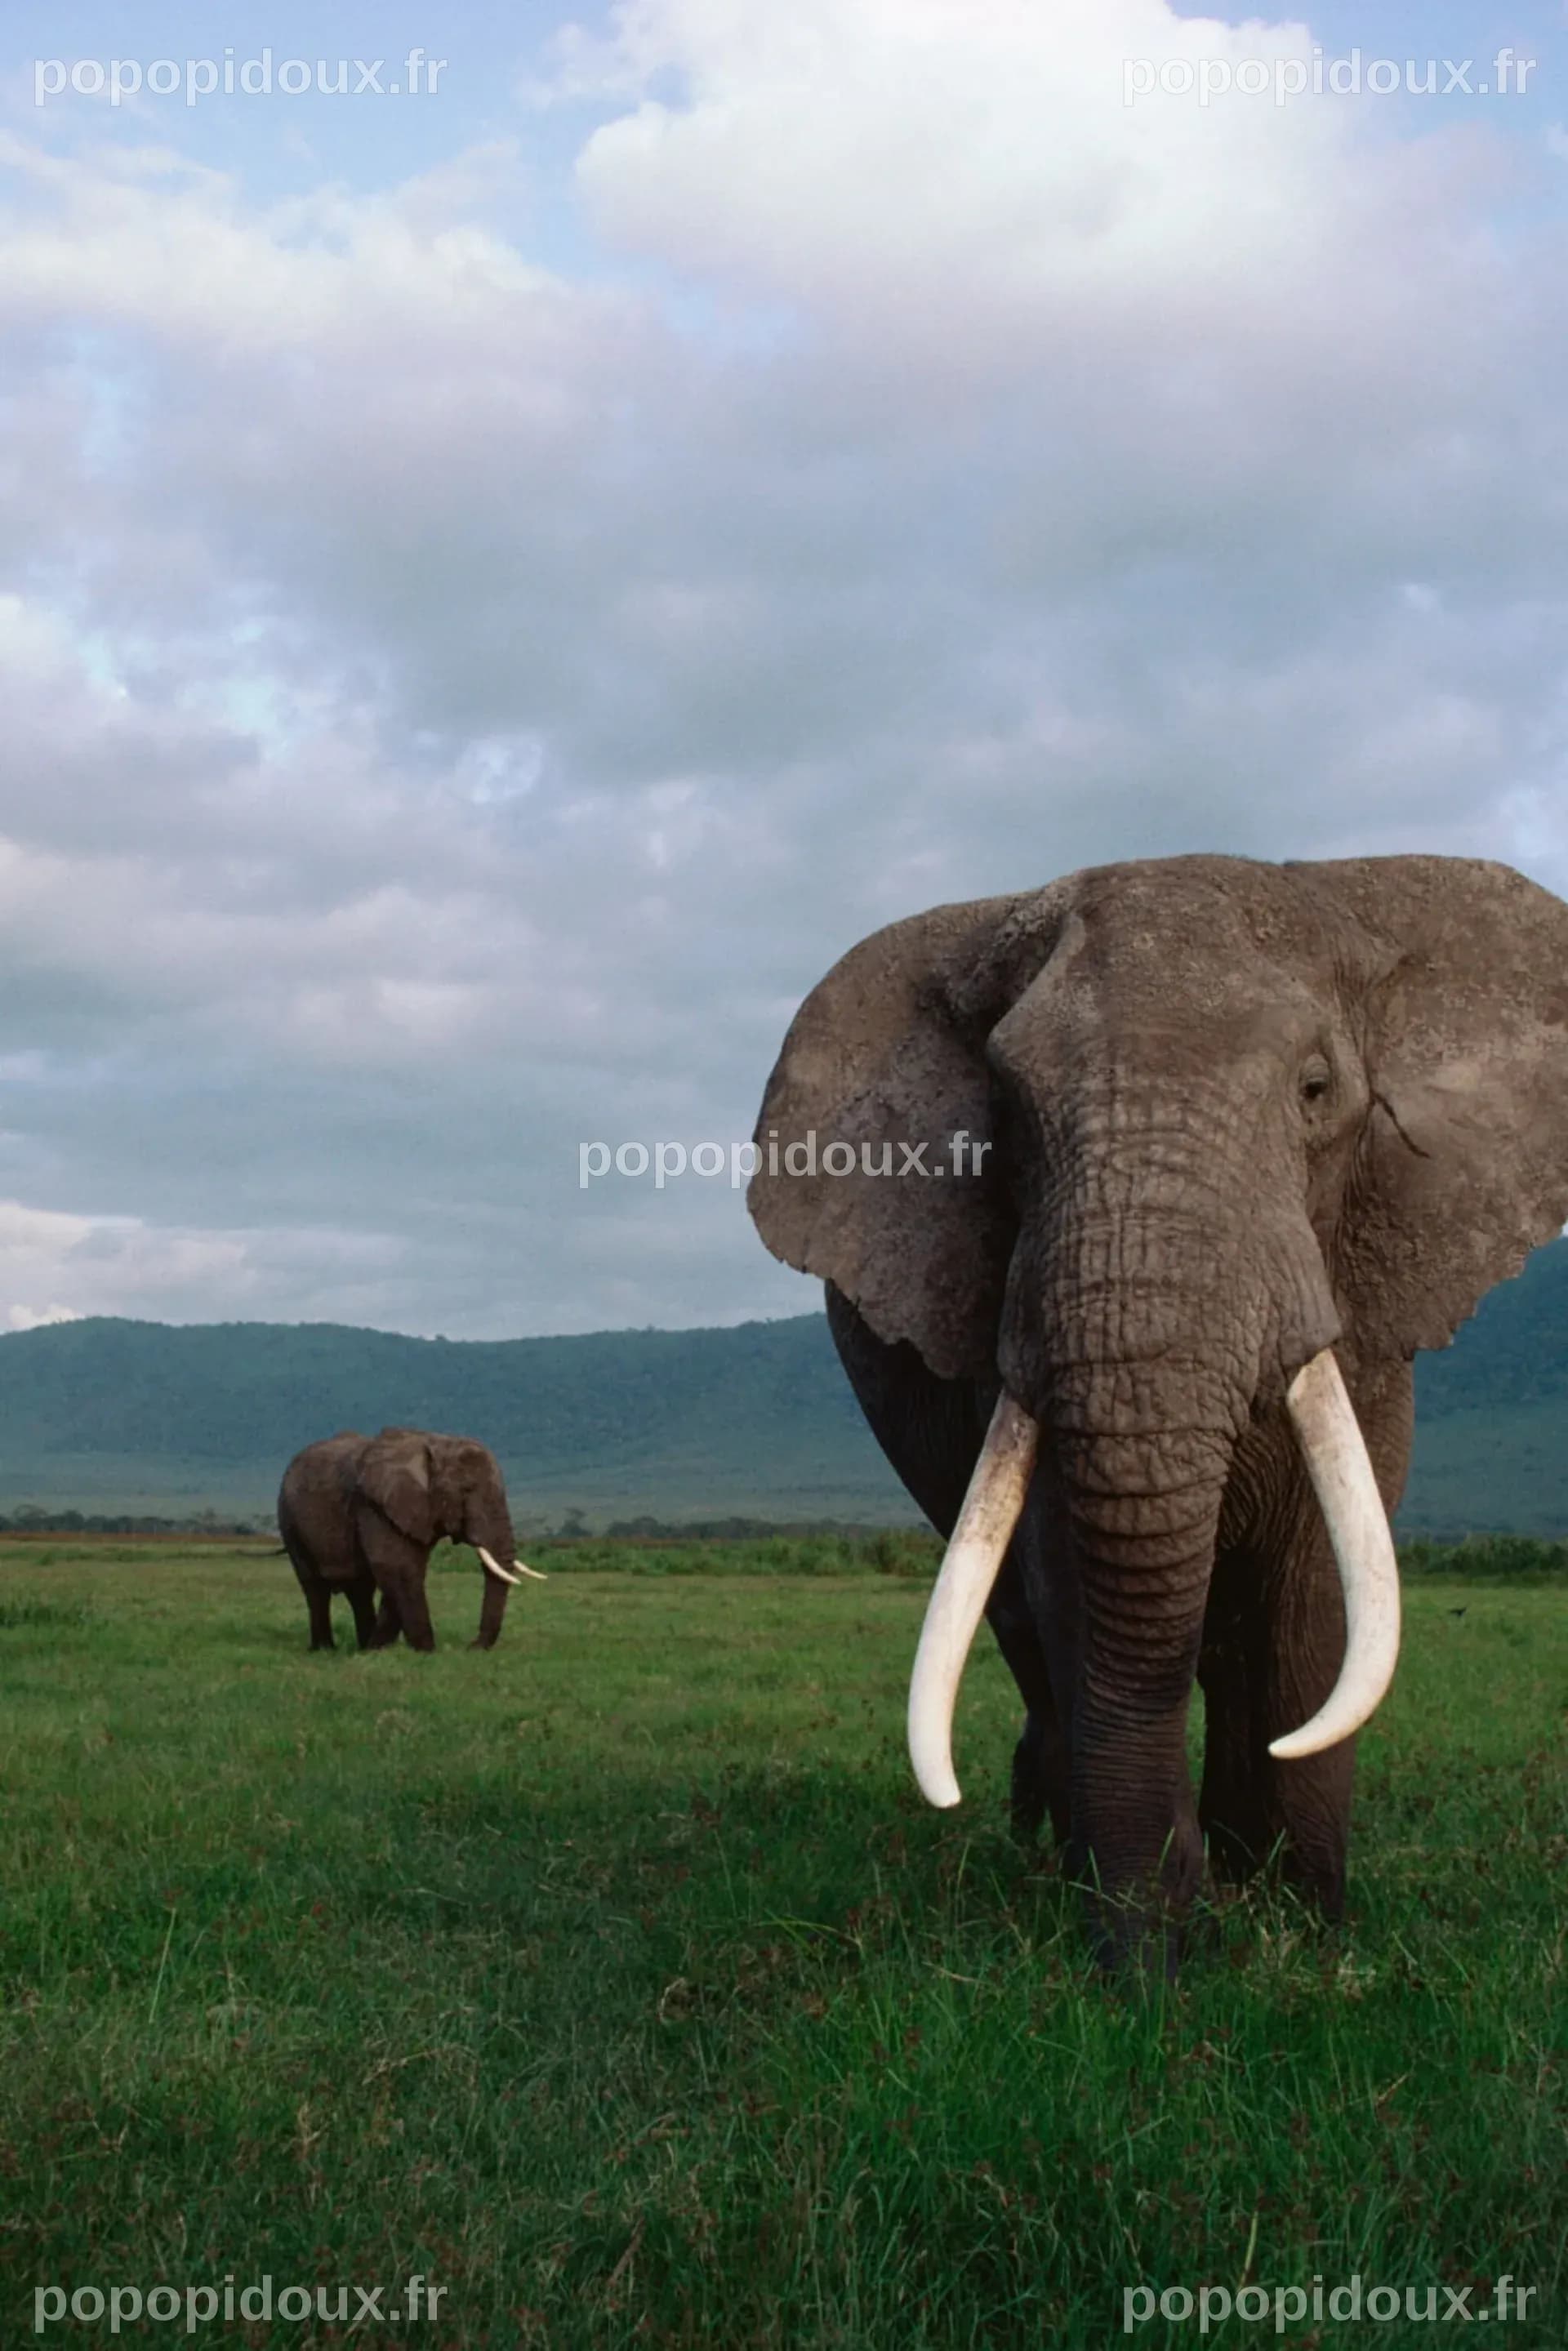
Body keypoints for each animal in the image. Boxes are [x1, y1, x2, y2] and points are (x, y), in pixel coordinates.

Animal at [277, 1426, 544, 1653]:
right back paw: (325, 1650)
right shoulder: (374, 1506)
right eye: (466, 1491)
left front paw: (380, 1651)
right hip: (290, 1522)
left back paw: (362, 1647)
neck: (438, 1443)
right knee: (315, 1587)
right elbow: (398, 1567)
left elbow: (406, 1570)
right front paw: (426, 1652)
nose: (472, 1647)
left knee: (360, 1588)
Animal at [748, 853, 1568, 1965]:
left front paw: (1305, 1936)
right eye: (1003, 1117)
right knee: (1023, 1629)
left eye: (1317, 1091)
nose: (1181, 1930)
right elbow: (1074, 1575)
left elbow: (1315, 1594)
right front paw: (1153, 1959)